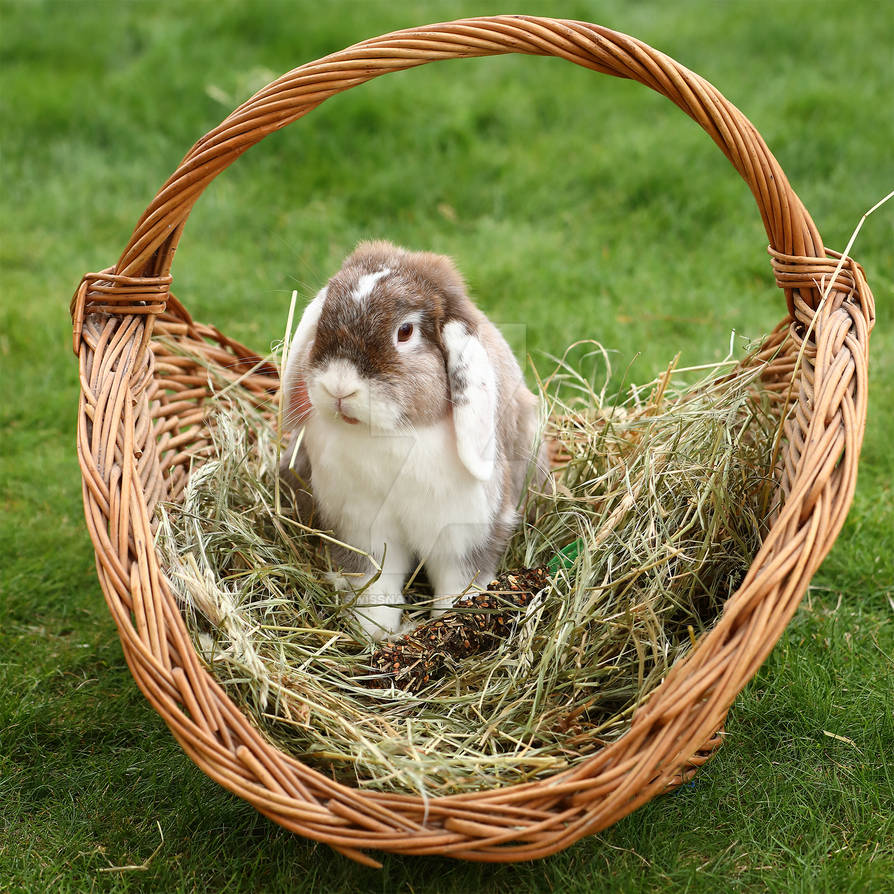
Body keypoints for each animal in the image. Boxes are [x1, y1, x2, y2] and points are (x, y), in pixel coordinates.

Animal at [280, 240, 546, 641]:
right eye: (325, 315)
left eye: (404, 332)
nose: (339, 387)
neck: (390, 436)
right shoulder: (363, 532)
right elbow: (374, 586)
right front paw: (377, 634)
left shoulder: (465, 536)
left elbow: (458, 587)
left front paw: (448, 627)